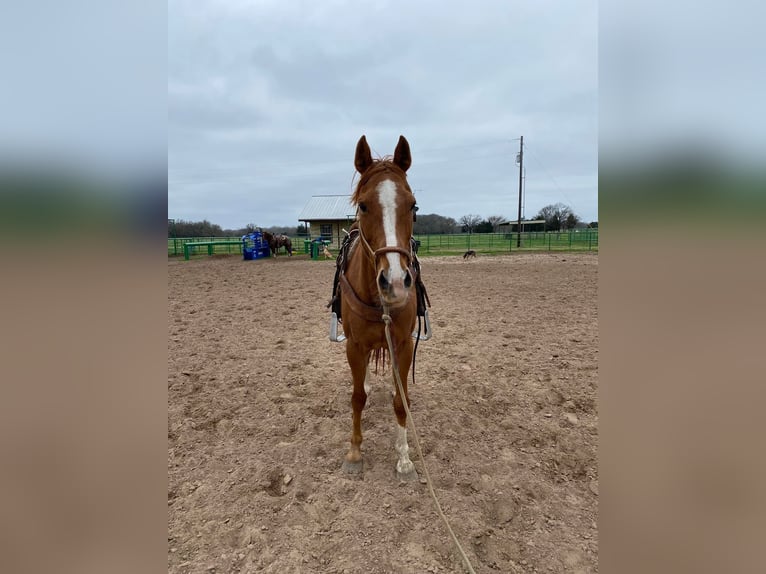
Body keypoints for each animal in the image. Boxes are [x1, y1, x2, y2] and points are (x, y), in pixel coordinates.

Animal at [336, 134, 424, 482]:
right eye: (363, 205)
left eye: (413, 205)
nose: (396, 280)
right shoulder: (355, 345)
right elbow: (356, 397)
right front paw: (354, 453)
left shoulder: (403, 344)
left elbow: (402, 401)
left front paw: (404, 458)